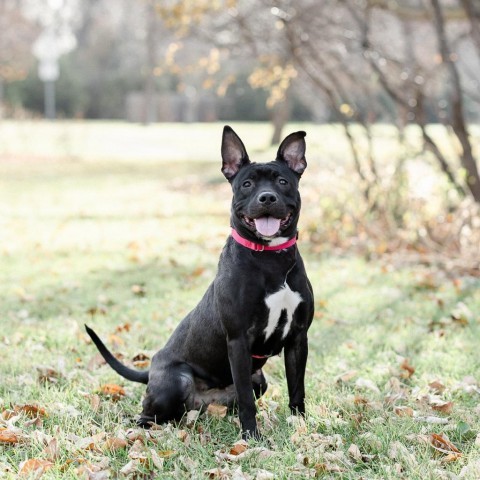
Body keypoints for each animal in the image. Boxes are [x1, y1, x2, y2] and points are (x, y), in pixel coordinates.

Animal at [85, 124, 316, 438]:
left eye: (282, 181)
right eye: (247, 184)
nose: (267, 198)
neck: (270, 258)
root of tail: (151, 370)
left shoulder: (298, 338)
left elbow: (297, 389)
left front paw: (300, 428)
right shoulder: (238, 340)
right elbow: (247, 400)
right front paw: (251, 437)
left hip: (258, 381)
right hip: (178, 379)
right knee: (146, 416)